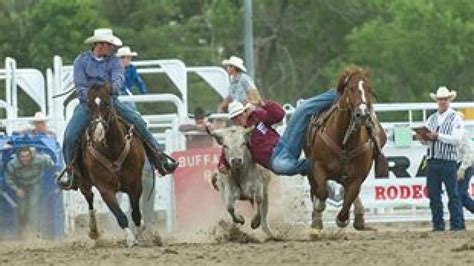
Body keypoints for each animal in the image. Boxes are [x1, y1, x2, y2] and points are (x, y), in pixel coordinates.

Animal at [75, 83, 146, 247]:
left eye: (107, 103)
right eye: (89, 105)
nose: (98, 133)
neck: (112, 151)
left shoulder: (135, 184)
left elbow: (136, 213)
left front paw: (139, 236)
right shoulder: (105, 189)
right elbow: (120, 216)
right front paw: (130, 239)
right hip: (84, 183)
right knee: (89, 198)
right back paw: (93, 231)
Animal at [308, 67, 386, 233]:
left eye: (369, 89)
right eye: (350, 88)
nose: (362, 114)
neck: (344, 143)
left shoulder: (357, 177)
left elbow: (347, 204)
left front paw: (343, 220)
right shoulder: (317, 166)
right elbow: (322, 192)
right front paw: (319, 207)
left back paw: (359, 217)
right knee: (315, 188)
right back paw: (316, 221)